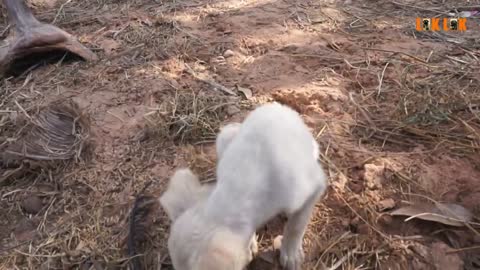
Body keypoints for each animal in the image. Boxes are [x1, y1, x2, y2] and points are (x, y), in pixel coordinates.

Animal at [159, 103, 328, 270]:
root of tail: (277, 105)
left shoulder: (314, 185)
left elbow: (296, 226)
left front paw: (291, 255)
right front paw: (251, 244)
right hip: (225, 138)